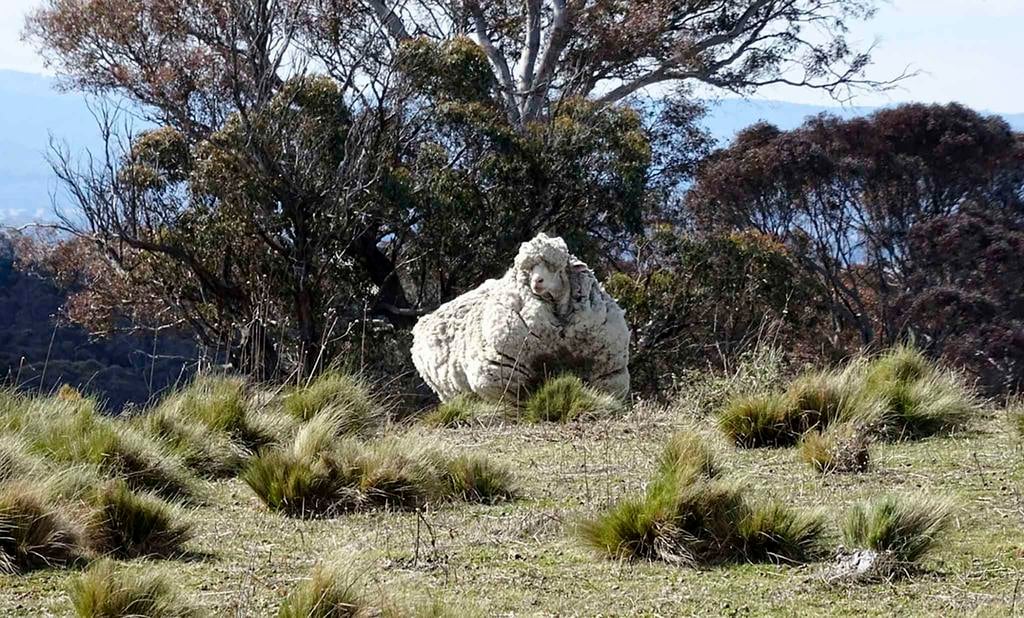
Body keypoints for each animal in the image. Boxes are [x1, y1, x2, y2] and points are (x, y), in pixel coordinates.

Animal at [411, 233, 630, 402]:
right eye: (529, 269)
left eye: (556, 267)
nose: (537, 281)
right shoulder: (504, 375)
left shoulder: (606, 373)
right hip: (449, 391)